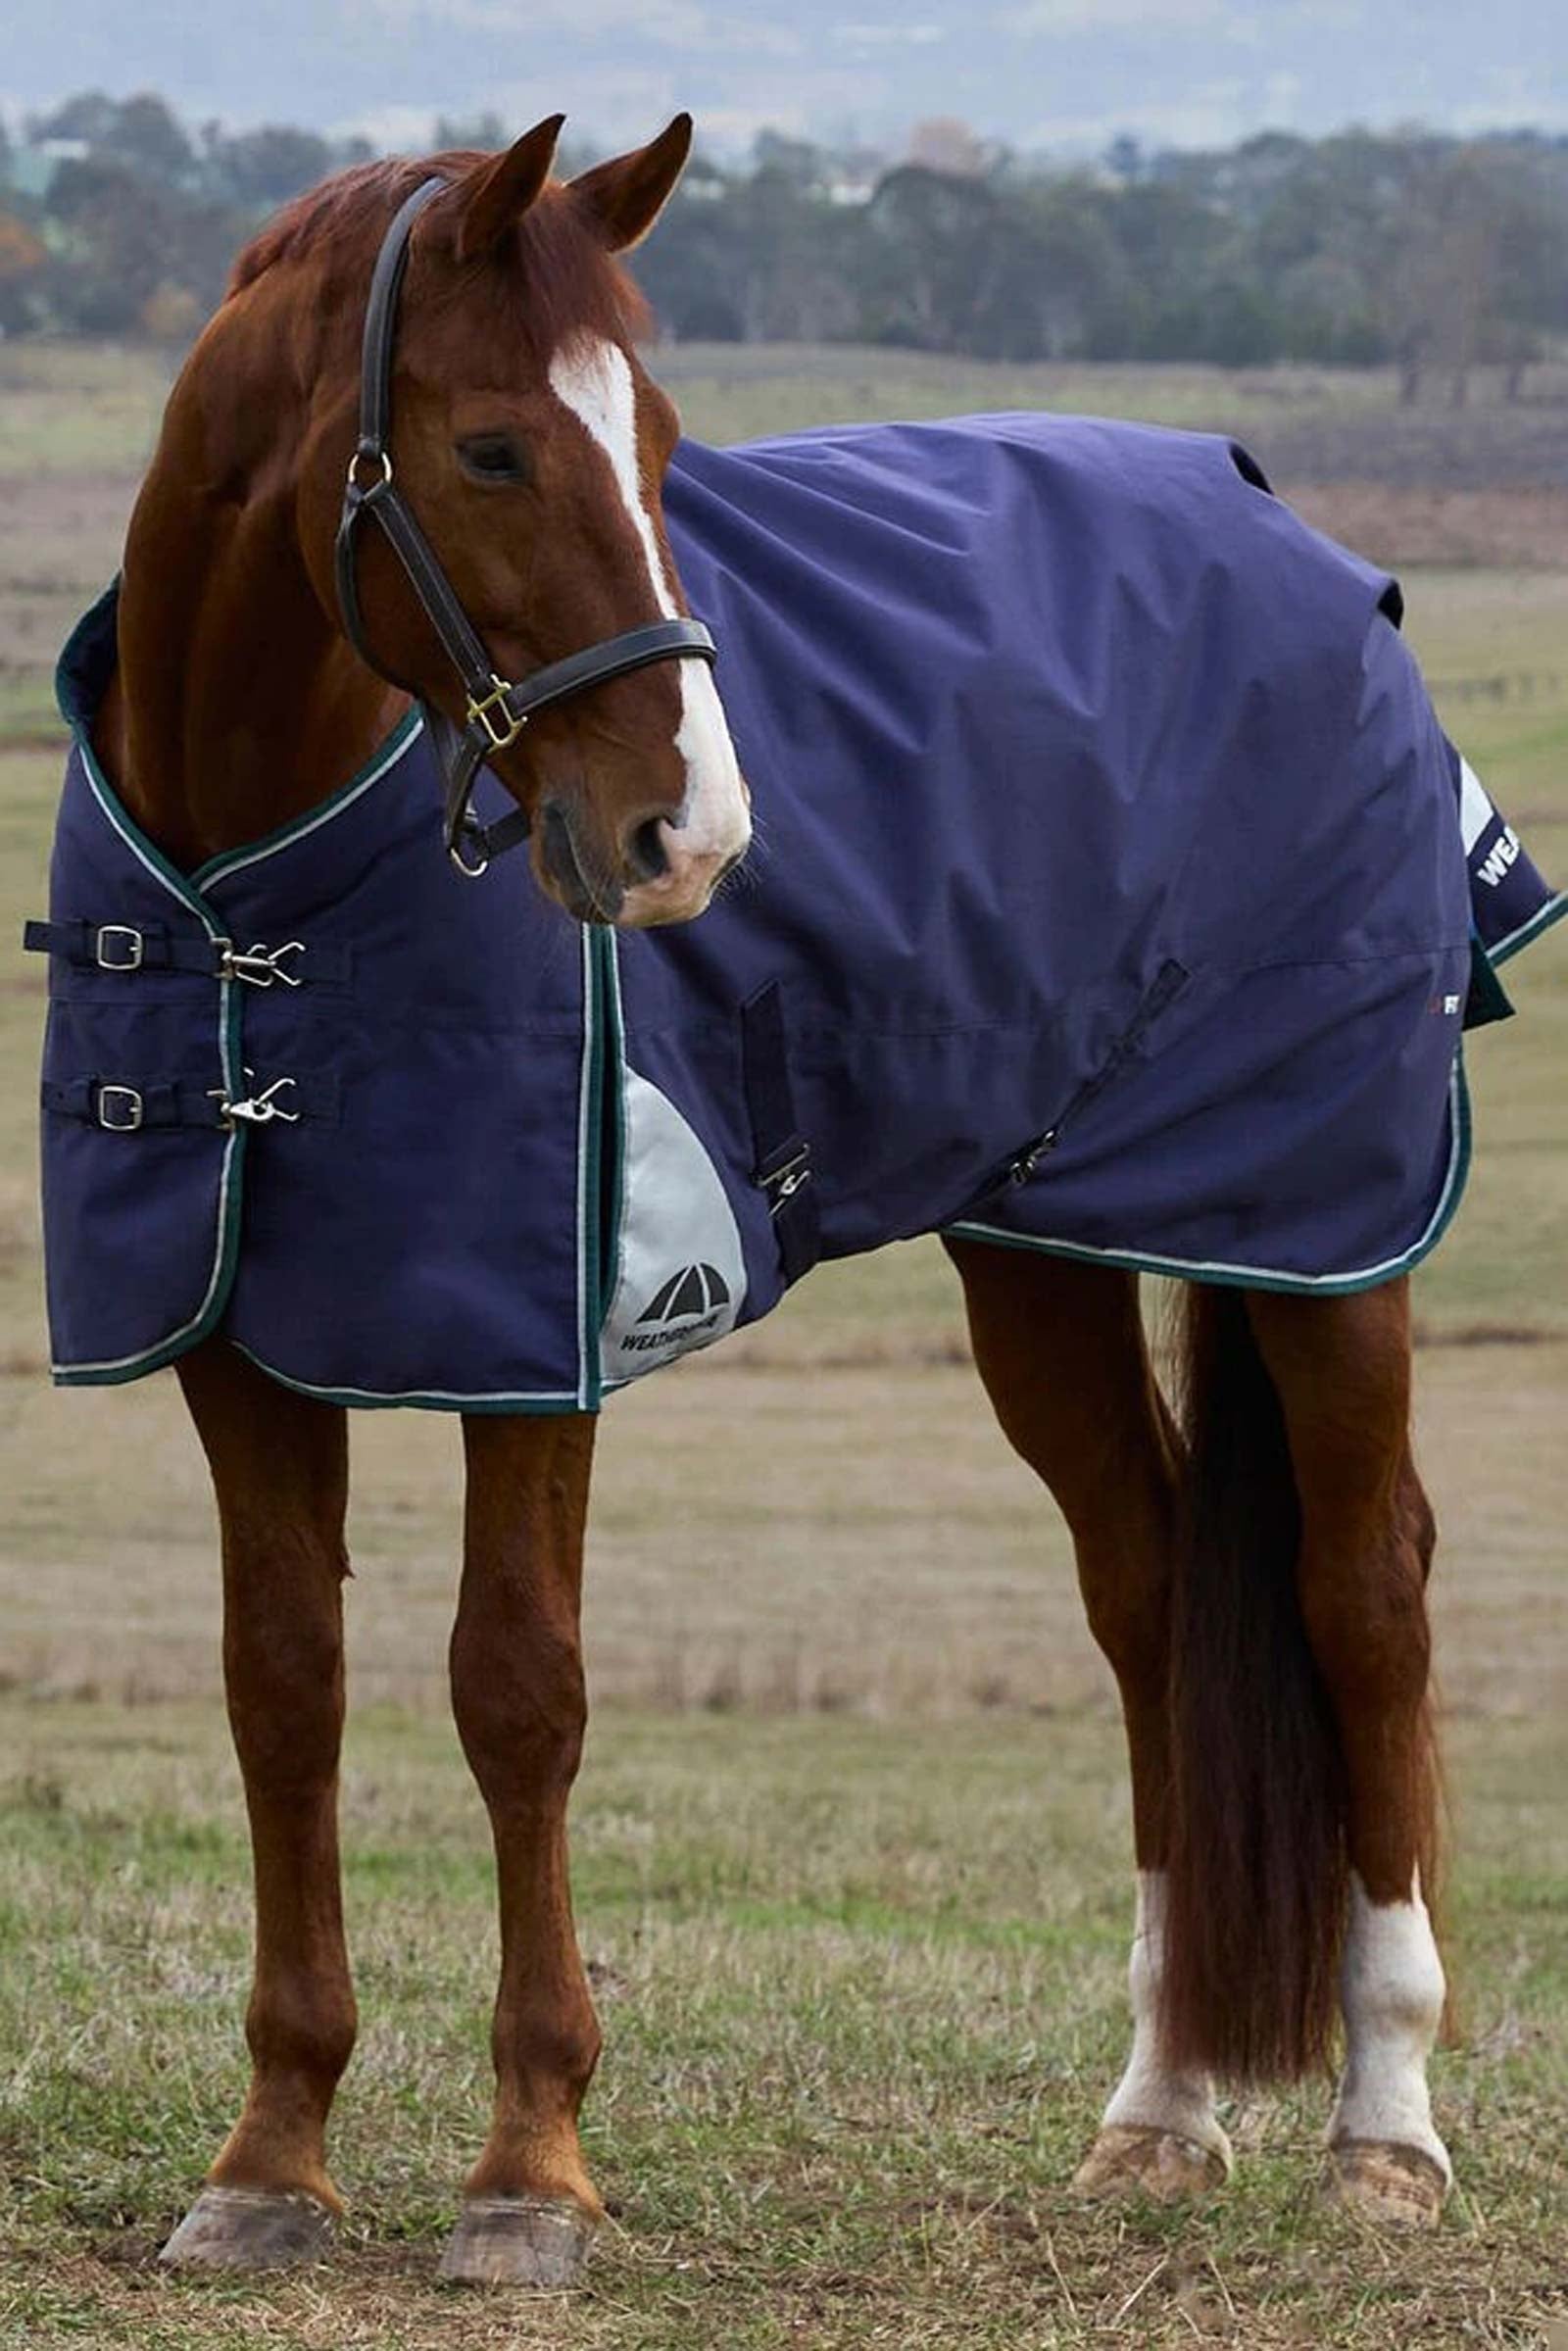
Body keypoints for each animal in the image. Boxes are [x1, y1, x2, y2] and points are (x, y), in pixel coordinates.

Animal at [30, 114, 1559, 2286]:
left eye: (663, 441)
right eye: (491, 447)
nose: (689, 832)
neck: (262, 882)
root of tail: (1288, 532)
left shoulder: (544, 1339)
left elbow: (517, 1688)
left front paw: (529, 2168)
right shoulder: (236, 1345)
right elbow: (282, 1692)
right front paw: (270, 2155)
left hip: (1316, 1226)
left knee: (1366, 1590)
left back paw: (1387, 2120)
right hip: (1038, 1252)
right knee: (1152, 1587)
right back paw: (1160, 2100)